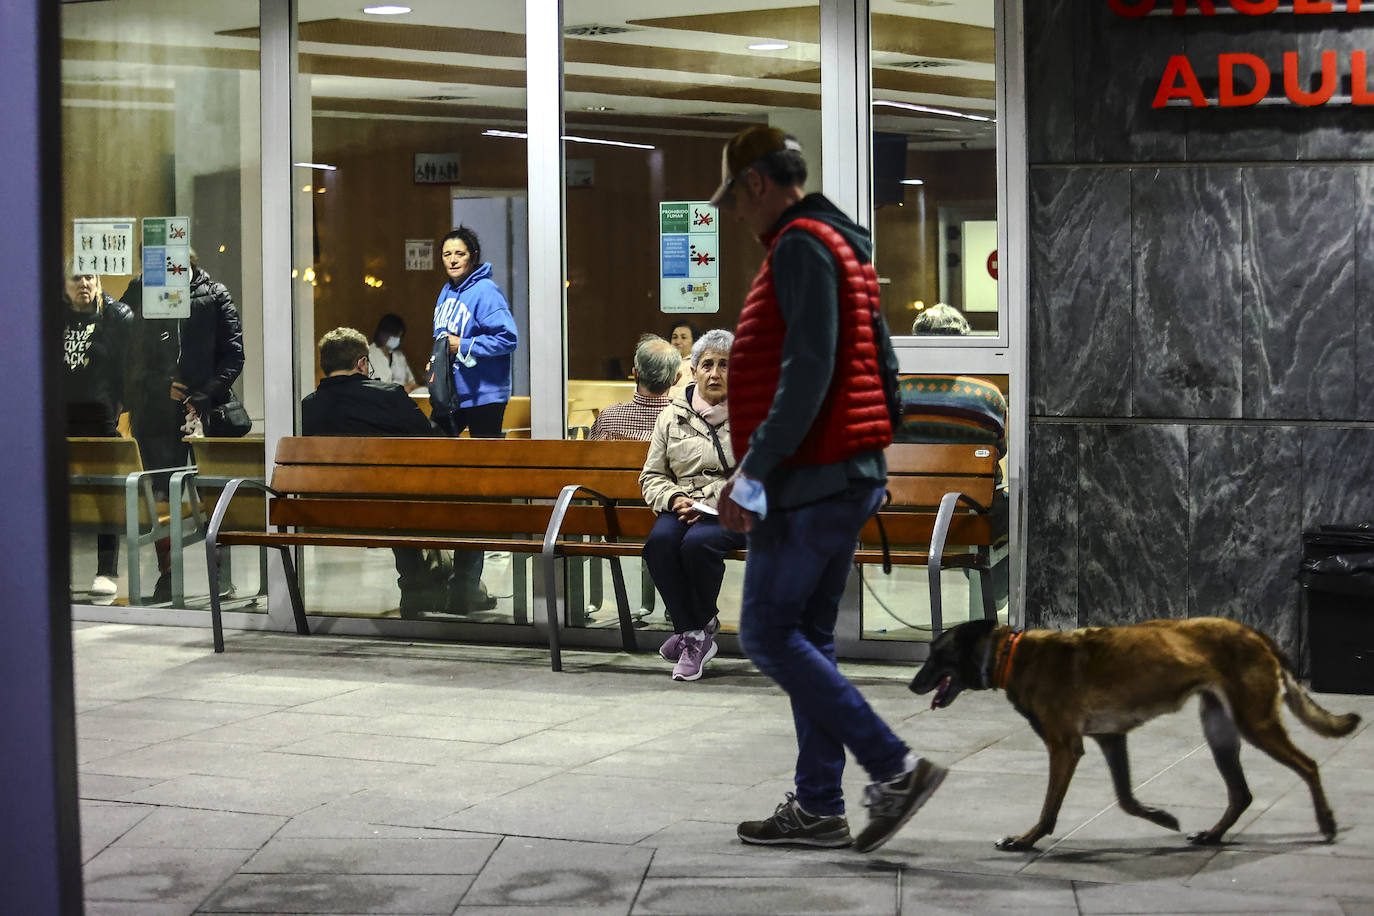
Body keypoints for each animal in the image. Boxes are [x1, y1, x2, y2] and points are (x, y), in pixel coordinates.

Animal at [912, 620, 1363, 851]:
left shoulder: (1064, 748)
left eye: (936, 656)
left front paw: (1026, 840)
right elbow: (1126, 799)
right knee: (1241, 793)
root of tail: (1253, 632)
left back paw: (1326, 822)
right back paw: (1213, 835)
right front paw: (1161, 816)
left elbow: (1049, 809)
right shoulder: (1112, 740)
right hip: (1220, 731)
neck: (1010, 653)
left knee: (1308, 765)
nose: (913, 686)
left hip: (1257, 724)